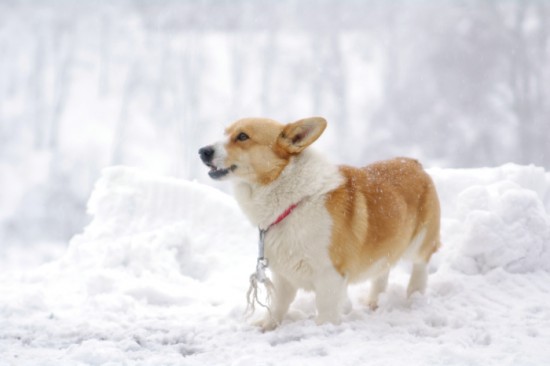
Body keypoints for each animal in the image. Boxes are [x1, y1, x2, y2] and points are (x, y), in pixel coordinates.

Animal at [201, 117, 442, 332]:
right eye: (225, 133)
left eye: (243, 136)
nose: (202, 151)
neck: (294, 200)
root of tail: (414, 163)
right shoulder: (283, 275)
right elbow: (278, 305)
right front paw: (267, 326)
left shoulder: (330, 274)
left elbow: (325, 310)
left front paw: (322, 331)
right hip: (386, 246)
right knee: (383, 269)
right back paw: (374, 302)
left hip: (419, 243)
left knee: (420, 266)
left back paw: (413, 298)